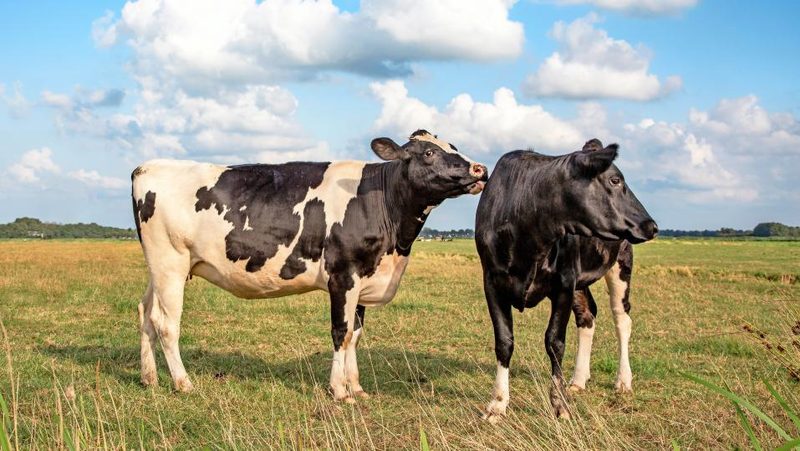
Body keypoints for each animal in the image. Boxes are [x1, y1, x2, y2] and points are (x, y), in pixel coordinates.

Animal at [131, 130, 488, 402]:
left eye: (454, 147)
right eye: (429, 152)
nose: (480, 169)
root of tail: (146, 167)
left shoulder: (363, 277)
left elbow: (356, 334)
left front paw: (357, 388)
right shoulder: (343, 275)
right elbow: (341, 332)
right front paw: (339, 391)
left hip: (159, 267)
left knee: (146, 312)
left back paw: (150, 378)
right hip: (170, 262)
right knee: (166, 323)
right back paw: (183, 383)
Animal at [474, 139, 657, 421]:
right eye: (615, 180)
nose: (652, 225)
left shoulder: (564, 283)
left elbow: (555, 342)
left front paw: (559, 405)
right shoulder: (492, 282)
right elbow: (504, 342)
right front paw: (497, 404)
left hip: (620, 266)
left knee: (622, 320)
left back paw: (623, 380)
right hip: (580, 283)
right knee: (587, 317)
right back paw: (578, 380)